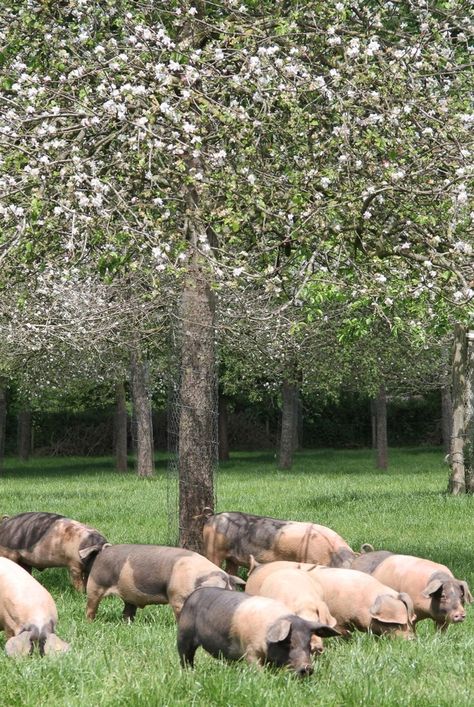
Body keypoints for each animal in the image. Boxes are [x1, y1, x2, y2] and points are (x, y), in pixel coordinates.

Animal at [85, 544, 246, 624]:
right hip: (95, 584)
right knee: (91, 607)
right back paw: (91, 623)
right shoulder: (177, 597)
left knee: (127, 612)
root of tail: (102, 553)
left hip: (128, 596)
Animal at [176, 588, 338, 676]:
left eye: (308, 646)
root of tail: (192, 595)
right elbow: (257, 670)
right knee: (185, 657)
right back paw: (189, 673)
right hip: (184, 635)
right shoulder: (250, 650)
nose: (307, 668)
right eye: (289, 644)